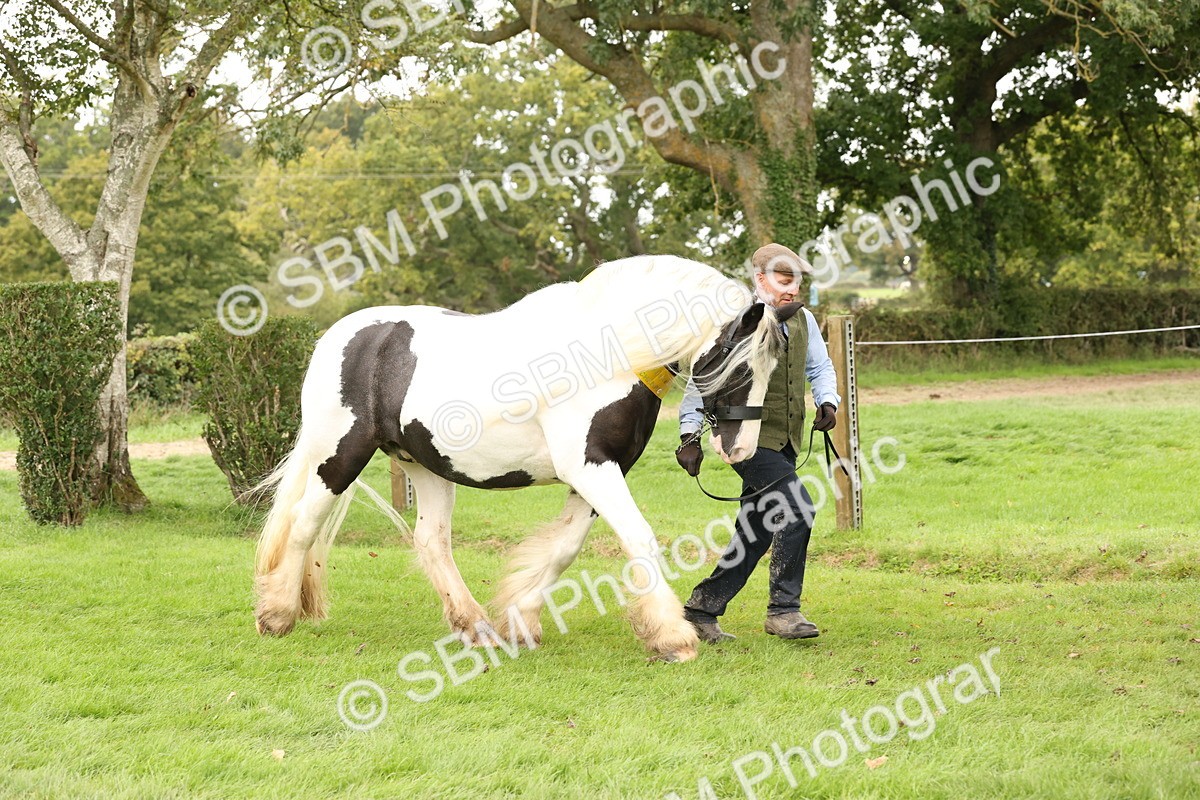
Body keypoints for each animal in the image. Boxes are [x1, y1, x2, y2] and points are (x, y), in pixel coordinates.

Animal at [252, 254, 793, 663]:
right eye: (742, 366)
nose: (741, 448)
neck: (608, 351)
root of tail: (338, 337)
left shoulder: (599, 471)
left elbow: (565, 548)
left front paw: (520, 619)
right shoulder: (591, 467)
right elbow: (638, 537)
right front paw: (672, 636)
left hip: (424, 465)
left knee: (431, 541)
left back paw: (476, 628)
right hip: (339, 454)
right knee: (302, 524)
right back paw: (276, 614)